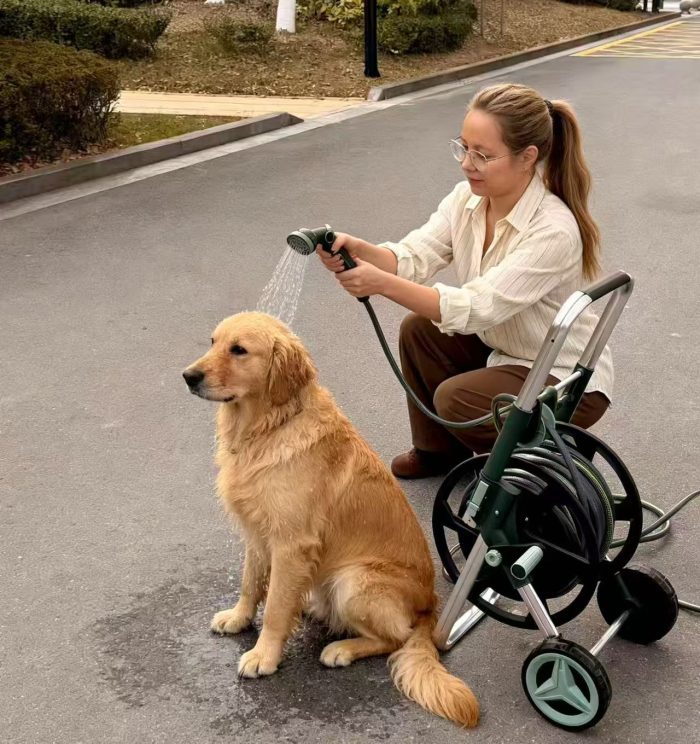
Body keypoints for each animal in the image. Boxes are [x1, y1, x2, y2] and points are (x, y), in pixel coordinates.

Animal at [183, 311, 479, 727]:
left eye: (239, 350)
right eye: (213, 342)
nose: (188, 376)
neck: (270, 426)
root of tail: (430, 608)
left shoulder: (291, 543)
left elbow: (275, 609)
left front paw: (263, 655)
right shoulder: (258, 533)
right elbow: (251, 583)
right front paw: (239, 618)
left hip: (353, 581)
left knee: (396, 638)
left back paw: (341, 649)